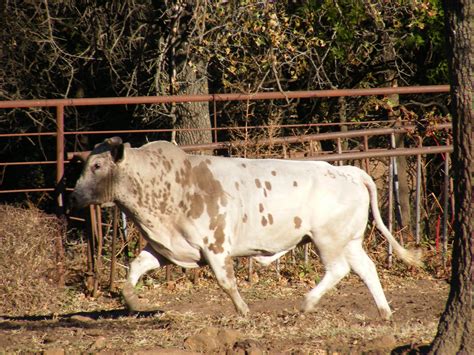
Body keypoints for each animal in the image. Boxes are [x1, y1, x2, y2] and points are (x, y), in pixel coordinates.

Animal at [69, 136, 422, 320]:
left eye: (97, 165)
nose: (73, 195)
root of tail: (349, 172)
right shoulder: (165, 245)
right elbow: (135, 266)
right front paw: (130, 301)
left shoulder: (215, 245)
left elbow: (226, 281)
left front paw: (243, 310)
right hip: (349, 239)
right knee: (366, 268)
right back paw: (384, 311)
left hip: (328, 239)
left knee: (339, 270)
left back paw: (307, 303)